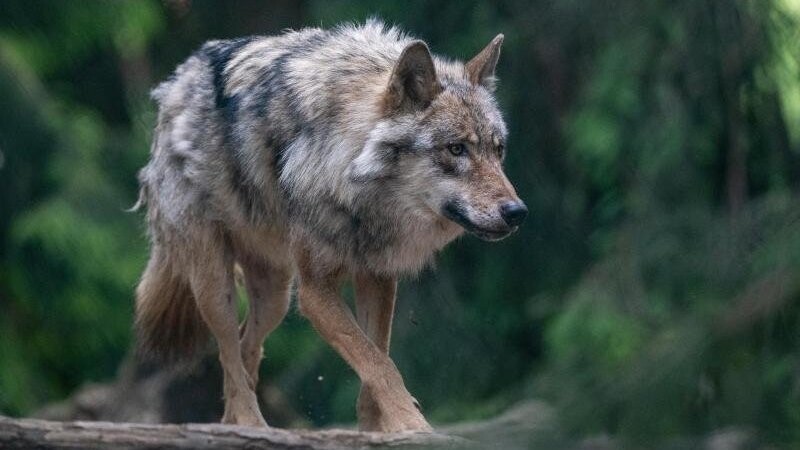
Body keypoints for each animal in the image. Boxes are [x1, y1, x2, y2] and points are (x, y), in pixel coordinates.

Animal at [135, 21, 528, 432]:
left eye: (498, 150)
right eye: (455, 149)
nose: (517, 211)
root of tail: (176, 82)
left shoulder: (377, 277)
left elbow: (376, 359)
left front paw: (376, 430)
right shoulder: (315, 291)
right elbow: (379, 364)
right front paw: (413, 427)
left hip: (275, 297)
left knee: (246, 350)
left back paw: (238, 424)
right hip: (216, 284)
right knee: (228, 352)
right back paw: (250, 423)